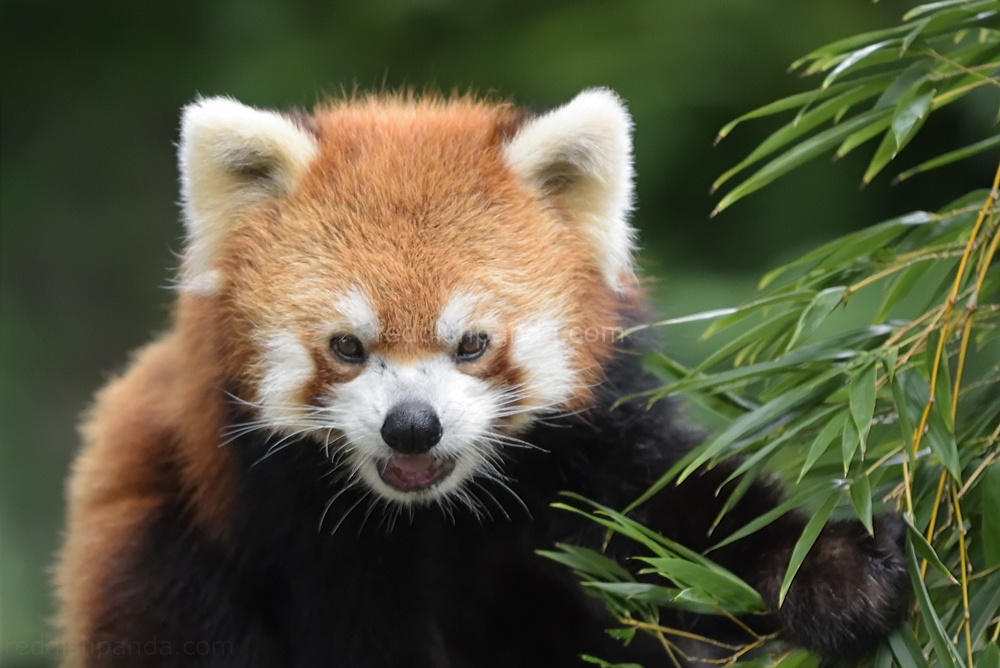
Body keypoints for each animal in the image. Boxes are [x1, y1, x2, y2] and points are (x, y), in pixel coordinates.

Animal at [58, 90, 912, 668]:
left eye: (472, 344)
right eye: (347, 346)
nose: (412, 426)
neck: (440, 512)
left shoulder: (596, 438)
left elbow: (682, 525)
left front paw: (840, 567)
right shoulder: (288, 515)